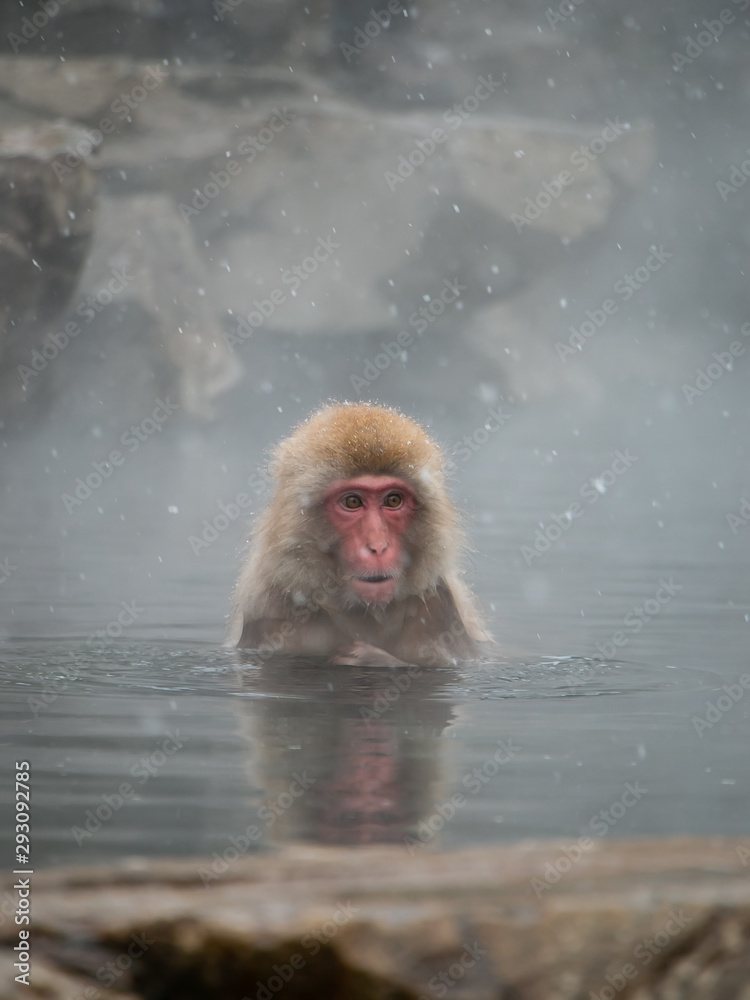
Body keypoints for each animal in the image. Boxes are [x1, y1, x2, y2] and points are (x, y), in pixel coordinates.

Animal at [228, 402, 491, 667]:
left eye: (393, 500)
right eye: (352, 502)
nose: (378, 546)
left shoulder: (441, 607)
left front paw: (369, 658)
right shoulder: (271, 616)